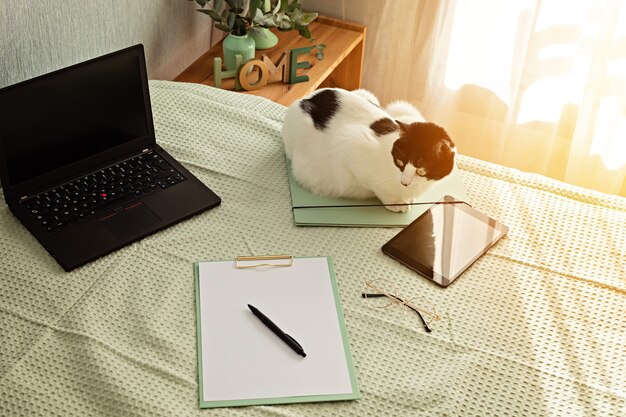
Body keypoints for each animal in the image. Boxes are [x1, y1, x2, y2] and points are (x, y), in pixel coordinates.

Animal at [280, 88, 456, 211]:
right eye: (400, 162)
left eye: (421, 170)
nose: (404, 182)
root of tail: (308, 97)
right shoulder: (349, 145)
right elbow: (376, 186)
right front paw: (396, 203)